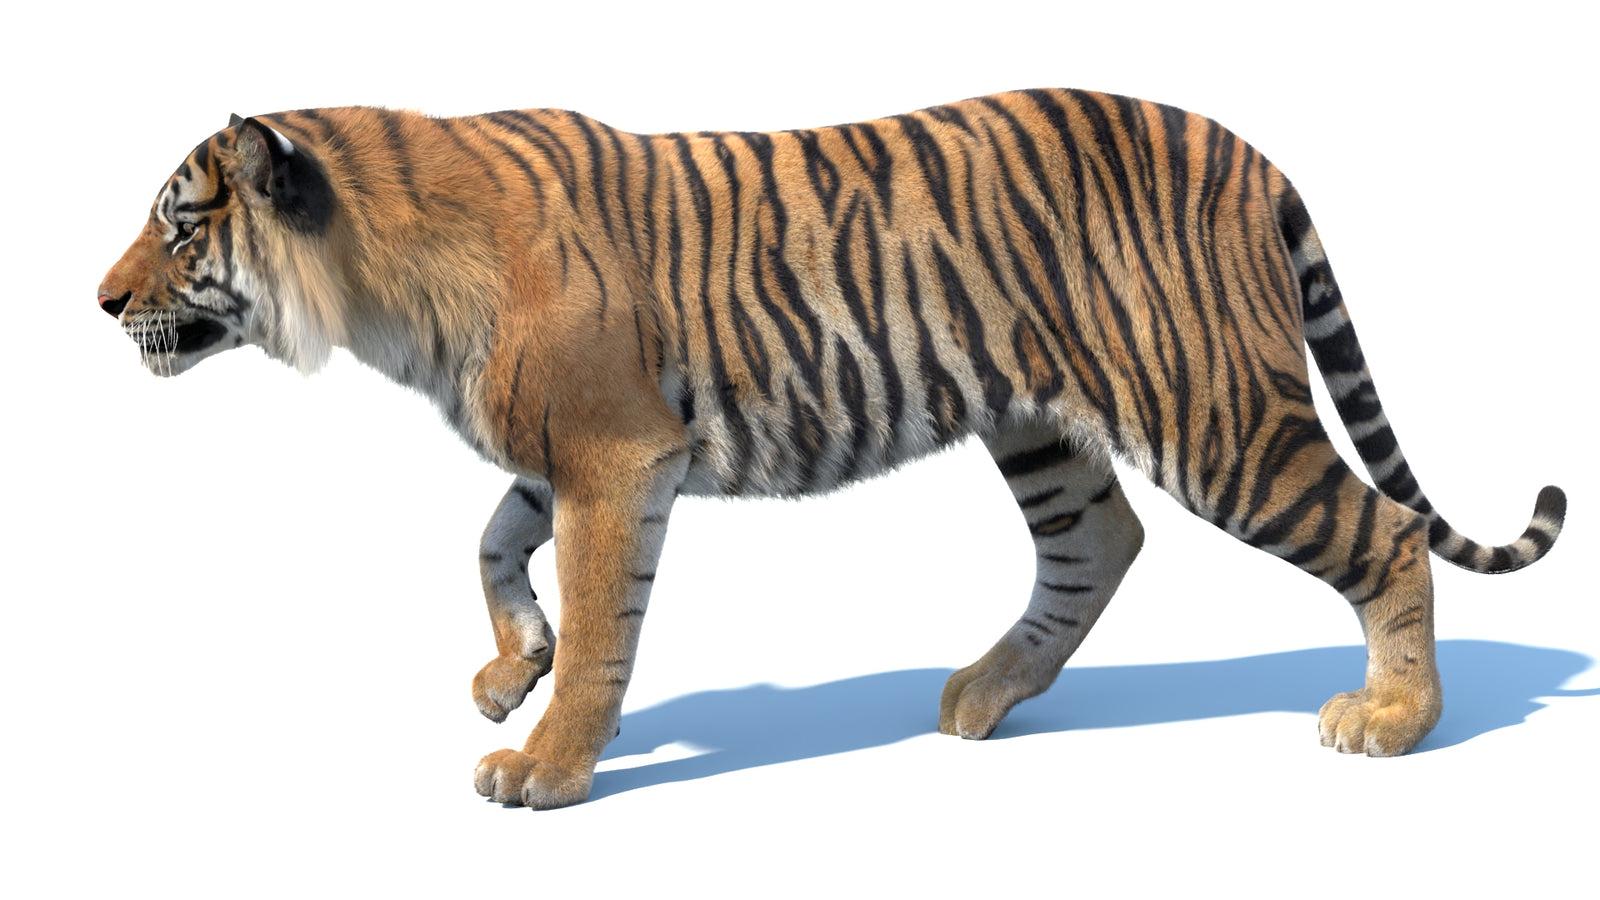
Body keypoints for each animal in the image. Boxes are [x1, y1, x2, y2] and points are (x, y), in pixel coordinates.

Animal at [98, 90, 1566, 809]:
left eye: (179, 224)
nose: (100, 302)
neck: (377, 284)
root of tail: (1251, 152)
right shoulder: (563, 447)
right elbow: (491, 545)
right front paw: (508, 673)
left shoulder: (617, 453)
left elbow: (599, 610)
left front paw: (547, 765)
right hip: (1037, 421)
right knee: (1100, 540)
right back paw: (981, 697)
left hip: (1211, 408)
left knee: (1378, 531)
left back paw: (1393, 722)